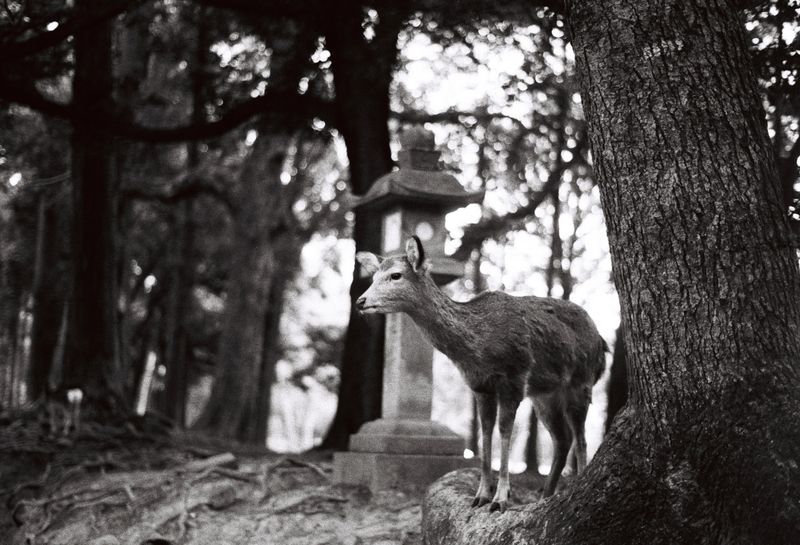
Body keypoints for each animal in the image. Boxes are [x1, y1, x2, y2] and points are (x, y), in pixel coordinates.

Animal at [355, 236, 606, 513]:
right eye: (373, 276)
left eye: (395, 275)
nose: (360, 301)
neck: (478, 348)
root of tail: (602, 343)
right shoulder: (479, 385)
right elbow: (484, 433)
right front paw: (481, 496)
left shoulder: (515, 377)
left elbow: (504, 432)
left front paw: (501, 498)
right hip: (544, 395)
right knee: (563, 439)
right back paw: (545, 496)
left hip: (580, 383)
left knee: (581, 439)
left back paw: (577, 484)